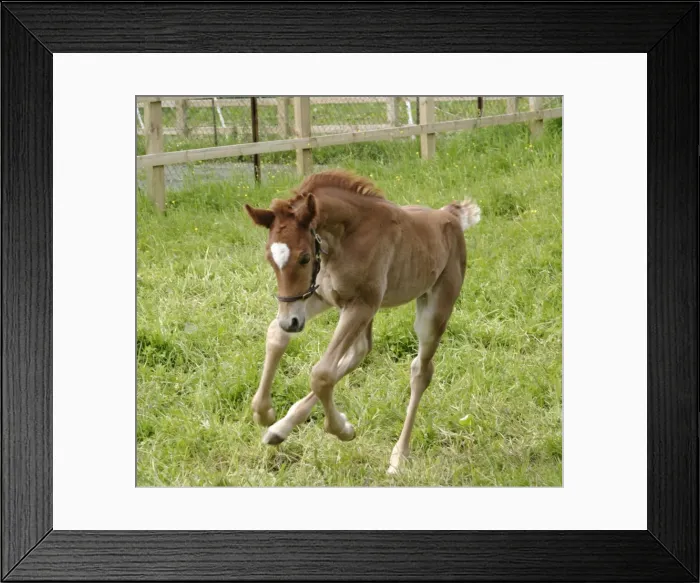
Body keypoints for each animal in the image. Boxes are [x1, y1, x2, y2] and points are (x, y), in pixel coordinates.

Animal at [245, 169, 480, 474]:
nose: (291, 322)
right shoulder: (320, 296)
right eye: (270, 259)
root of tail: (449, 215)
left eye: (305, 257)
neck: (346, 237)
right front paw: (264, 414)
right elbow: (277, 336)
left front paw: (342, 430)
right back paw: (280, 429)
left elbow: (321, 373)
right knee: (358, 353)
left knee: (420, 371)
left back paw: (399, 457)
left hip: (433, 310)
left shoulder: (360, 305)